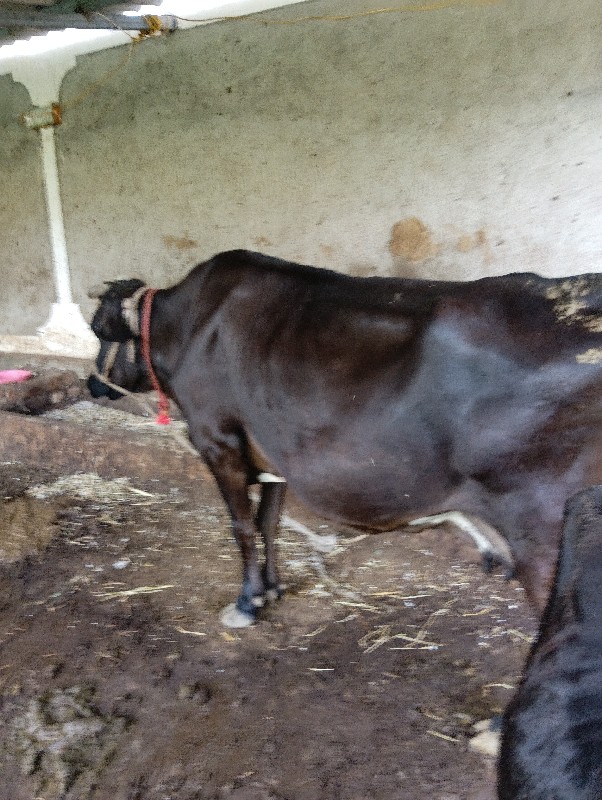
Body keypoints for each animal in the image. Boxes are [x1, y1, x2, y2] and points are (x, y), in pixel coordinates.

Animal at [87, 249, 602, 627]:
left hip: (543, 527)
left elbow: (243, 528)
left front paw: (248, 602)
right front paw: (272, 590)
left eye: (97, 330)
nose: (91, 384)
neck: (190, 324)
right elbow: (269, 523)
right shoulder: (274, 455)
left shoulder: (218, 438)